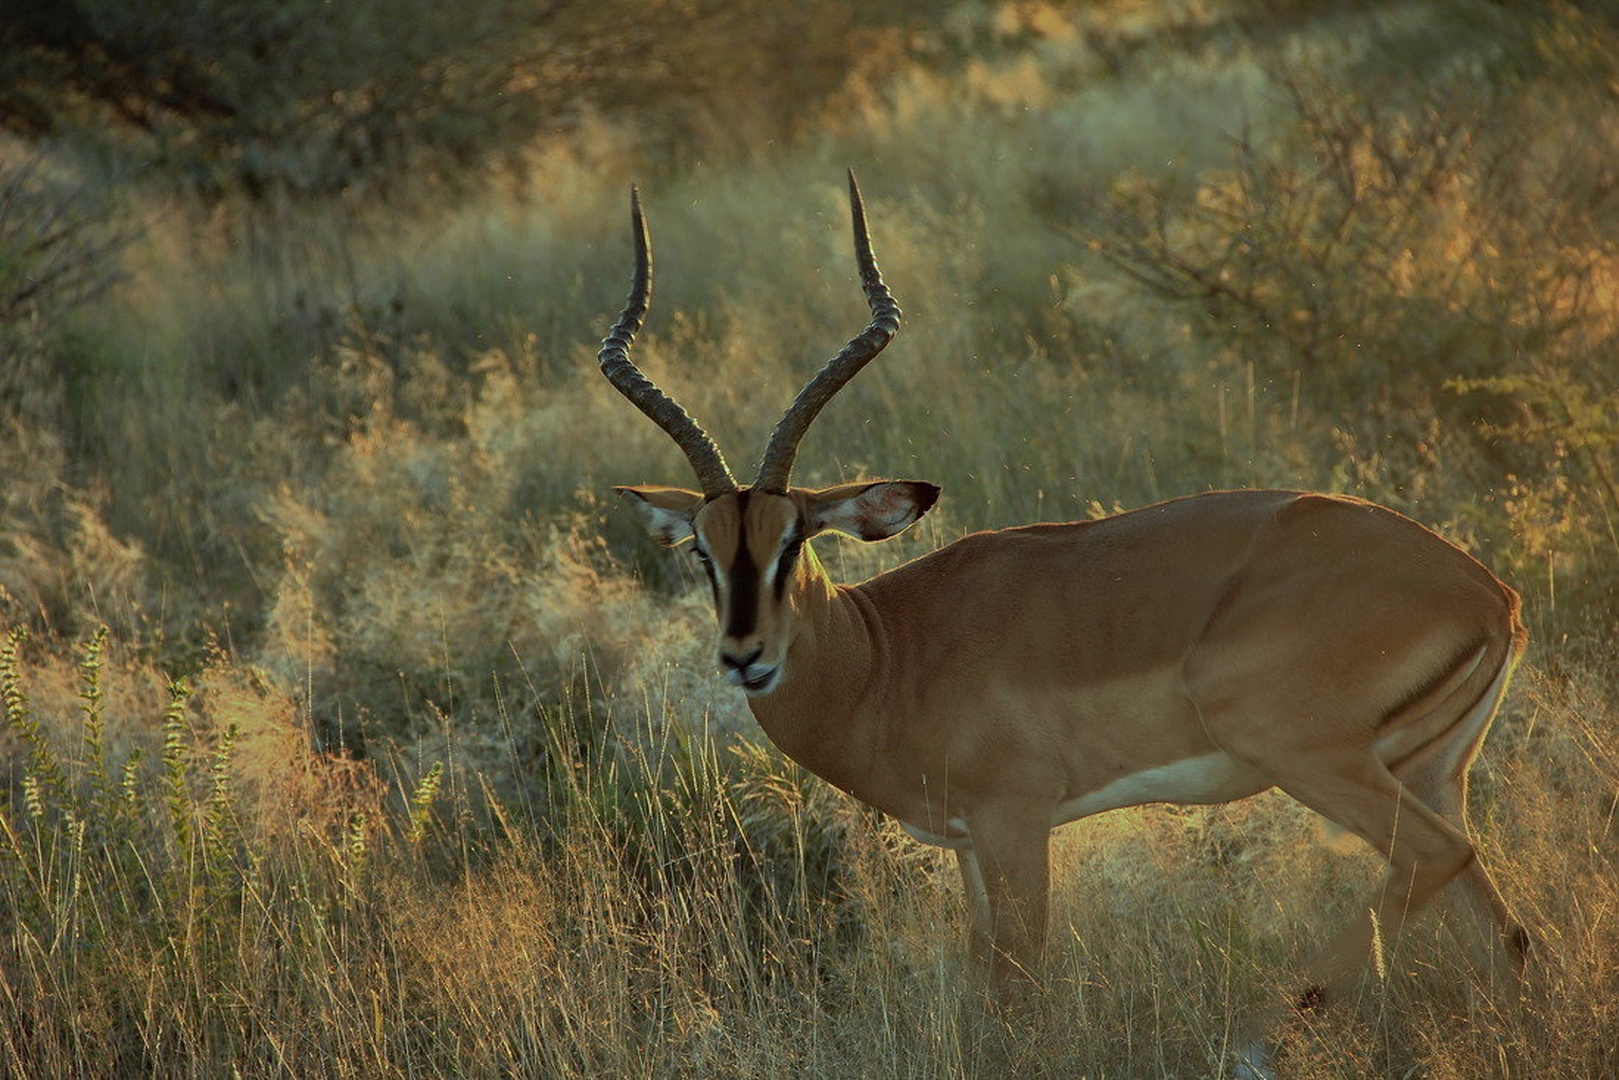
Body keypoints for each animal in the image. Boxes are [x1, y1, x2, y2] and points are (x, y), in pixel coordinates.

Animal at [597, 172, 1530, 1015]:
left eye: (795, 541)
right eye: (703, 553)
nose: (743, 657)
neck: (890, 656)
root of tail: (1488, 593)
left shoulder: (1016, 821)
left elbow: (1020, 988)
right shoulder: (967, 846)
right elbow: (984, 988)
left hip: (1302, 749)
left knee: (1433, 861)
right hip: (1427, 769)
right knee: (1500, 925)